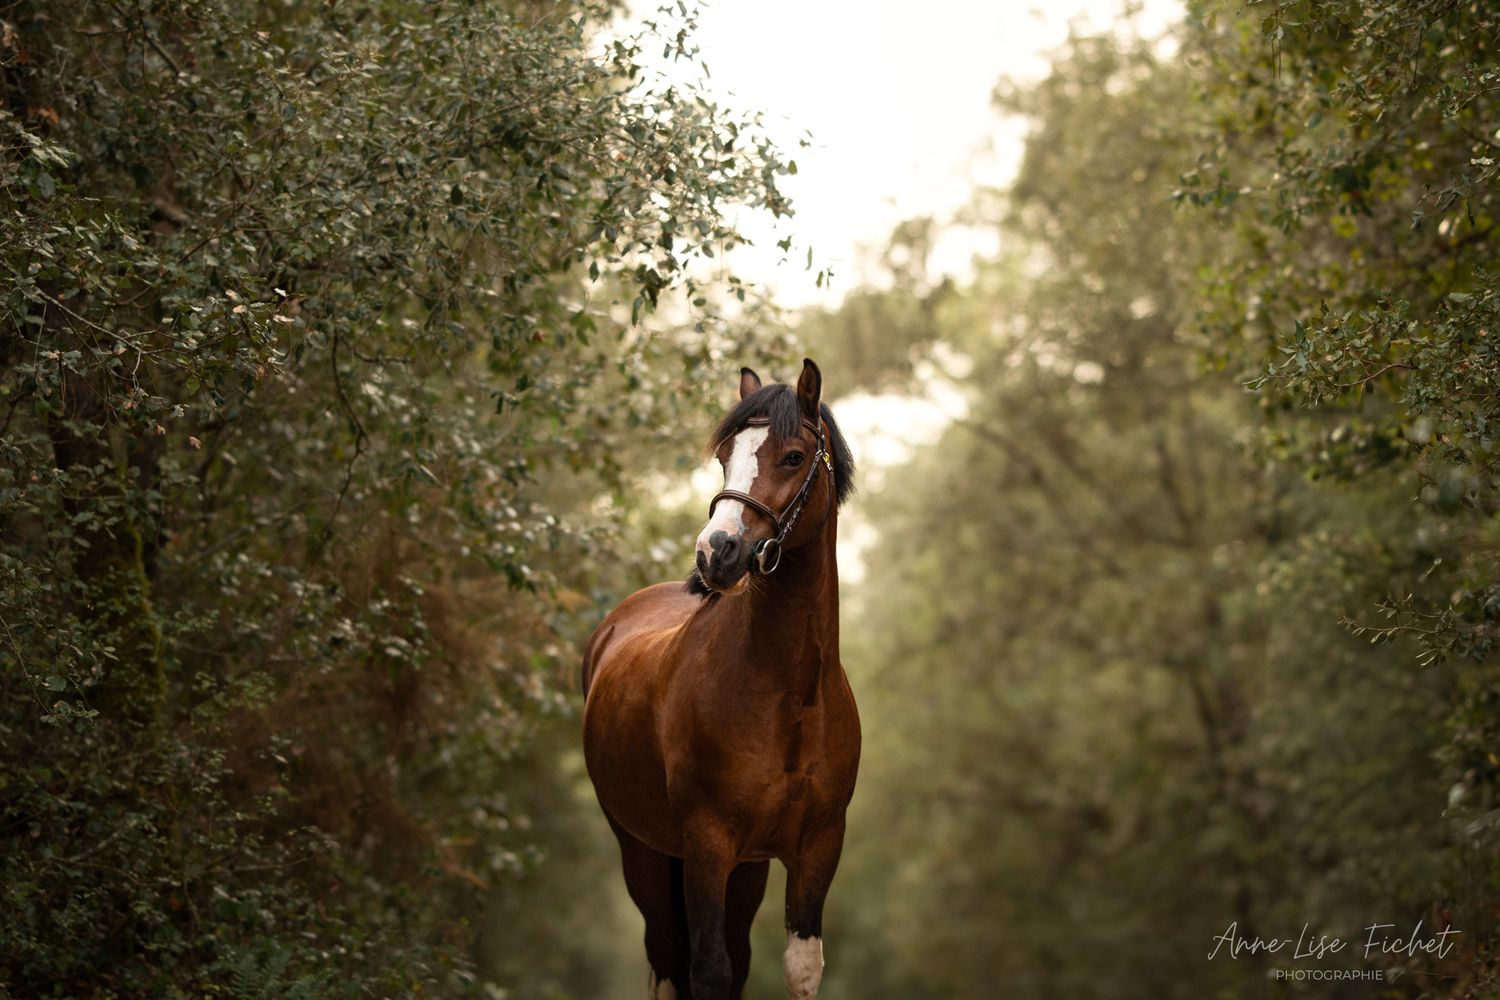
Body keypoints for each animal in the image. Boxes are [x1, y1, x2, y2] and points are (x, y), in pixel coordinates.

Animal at [582, 359, 860, 1000]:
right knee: (665, 958)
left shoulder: (817, 846)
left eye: (792, 456)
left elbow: (798, 968)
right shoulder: (707, 845)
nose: (717, 553)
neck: (793, 694)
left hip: (747, 868)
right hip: (644, 852)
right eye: (723, 456)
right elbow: (708, 971)